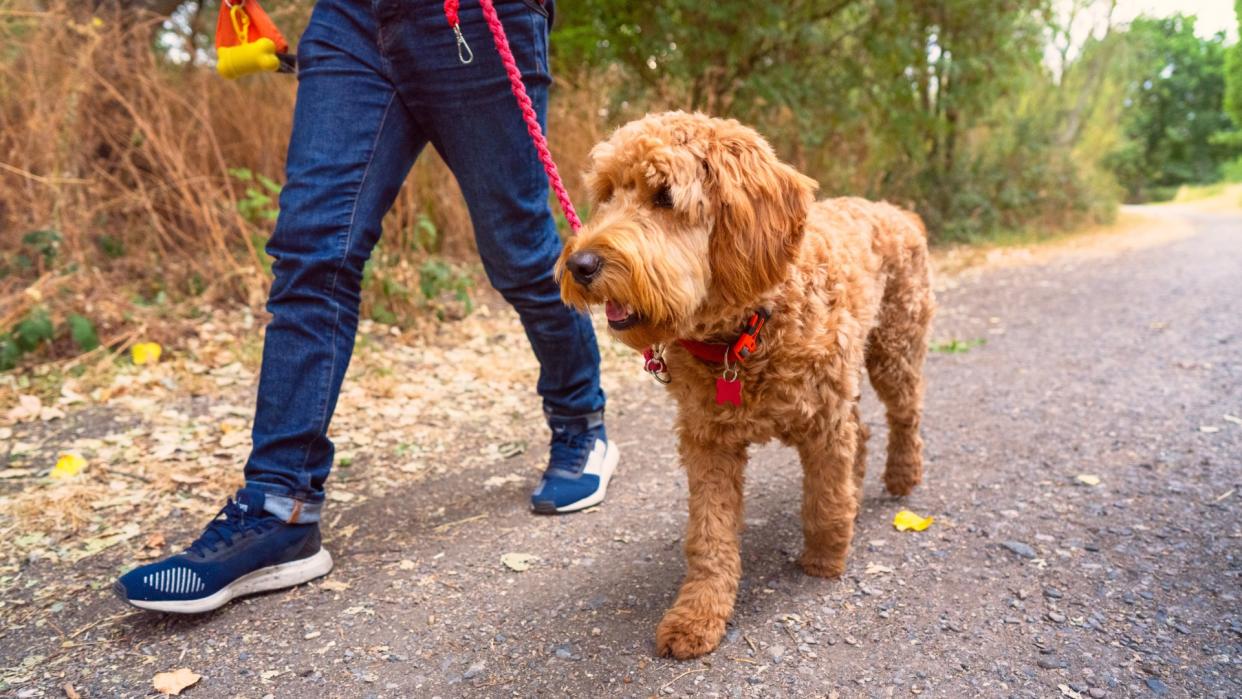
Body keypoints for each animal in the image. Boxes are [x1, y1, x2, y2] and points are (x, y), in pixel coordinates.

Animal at [556, 112, 933, 660]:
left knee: (905, 414)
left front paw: (825, 559)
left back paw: (902, 476)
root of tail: (896, 211)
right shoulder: (708, 441)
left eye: (664, 196)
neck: (746, 332)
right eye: (605, 193)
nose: (579, 265)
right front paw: (698, 615)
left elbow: (823, 499)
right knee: (862, 433)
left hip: (894, 347)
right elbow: (709, 538)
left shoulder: (823, 421)